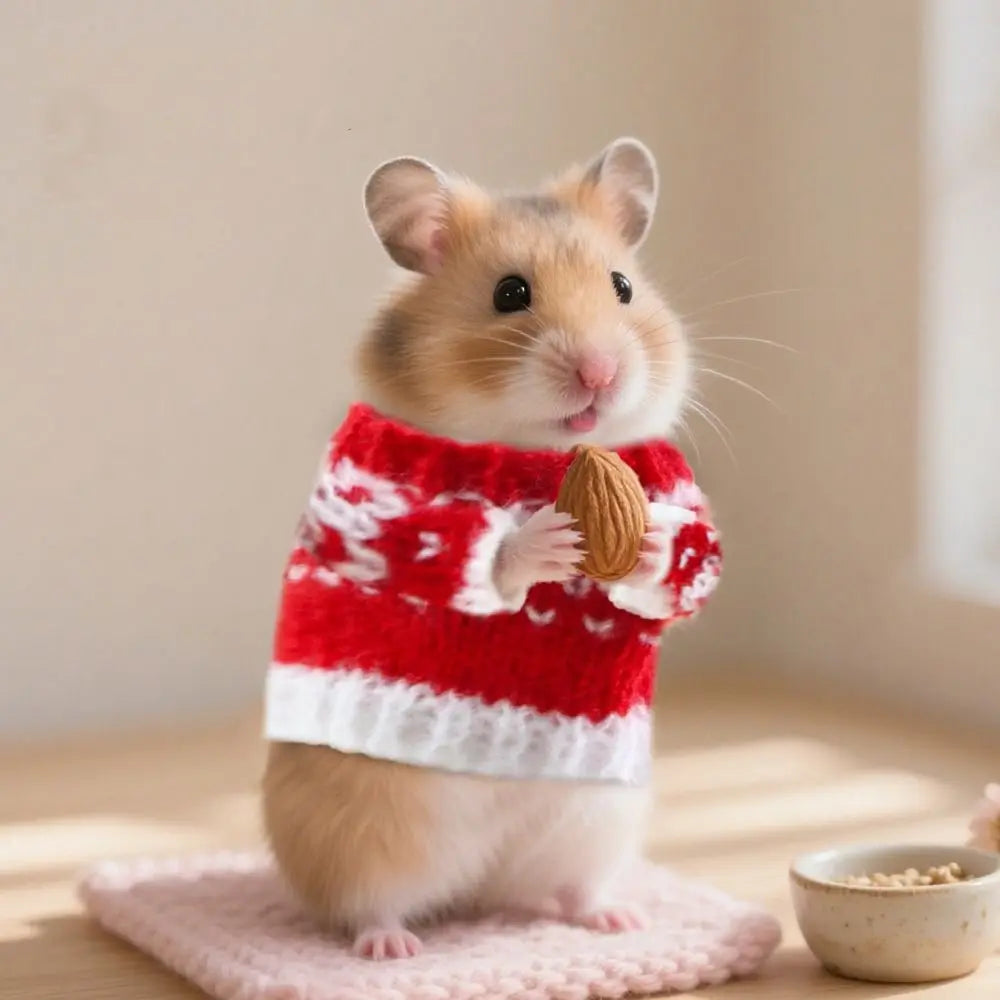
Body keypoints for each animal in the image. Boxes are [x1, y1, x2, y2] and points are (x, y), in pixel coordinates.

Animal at [263, 138, 692, 960]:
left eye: (622, 286)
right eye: (509, 293)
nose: (600, 373)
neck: (535, 450)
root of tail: (475, 888)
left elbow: (689, 567)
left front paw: (652, 536)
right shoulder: (372, 503)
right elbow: (456, 547)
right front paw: (548, 538)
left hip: (594, 823)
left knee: (566, 888)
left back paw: (617, 919)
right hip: (361, 827)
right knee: (363, 903)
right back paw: (392, 949)